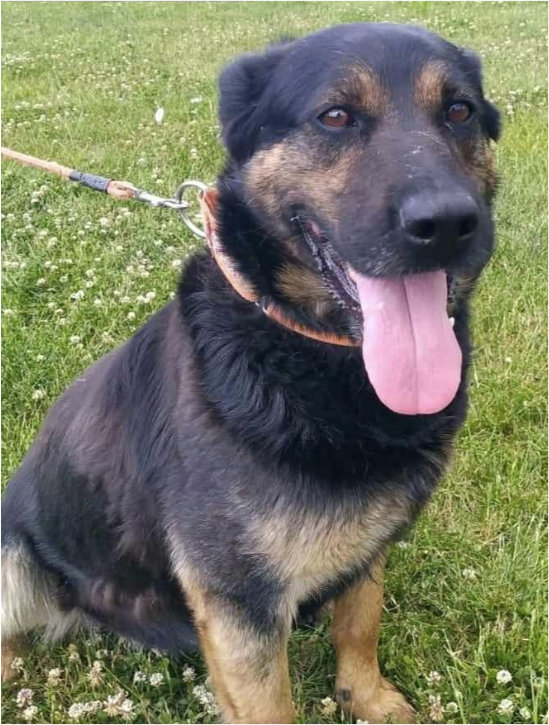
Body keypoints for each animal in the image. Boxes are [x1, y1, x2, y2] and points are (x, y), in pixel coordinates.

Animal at [1, 22, 500, 724]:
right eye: (336, 116)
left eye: (459, 112)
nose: (450, 223)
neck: (300, 342)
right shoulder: (238, 603)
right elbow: (273, 703)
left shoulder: (365, 548)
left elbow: (361, 619)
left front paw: (368, 697)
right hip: (14, 559)